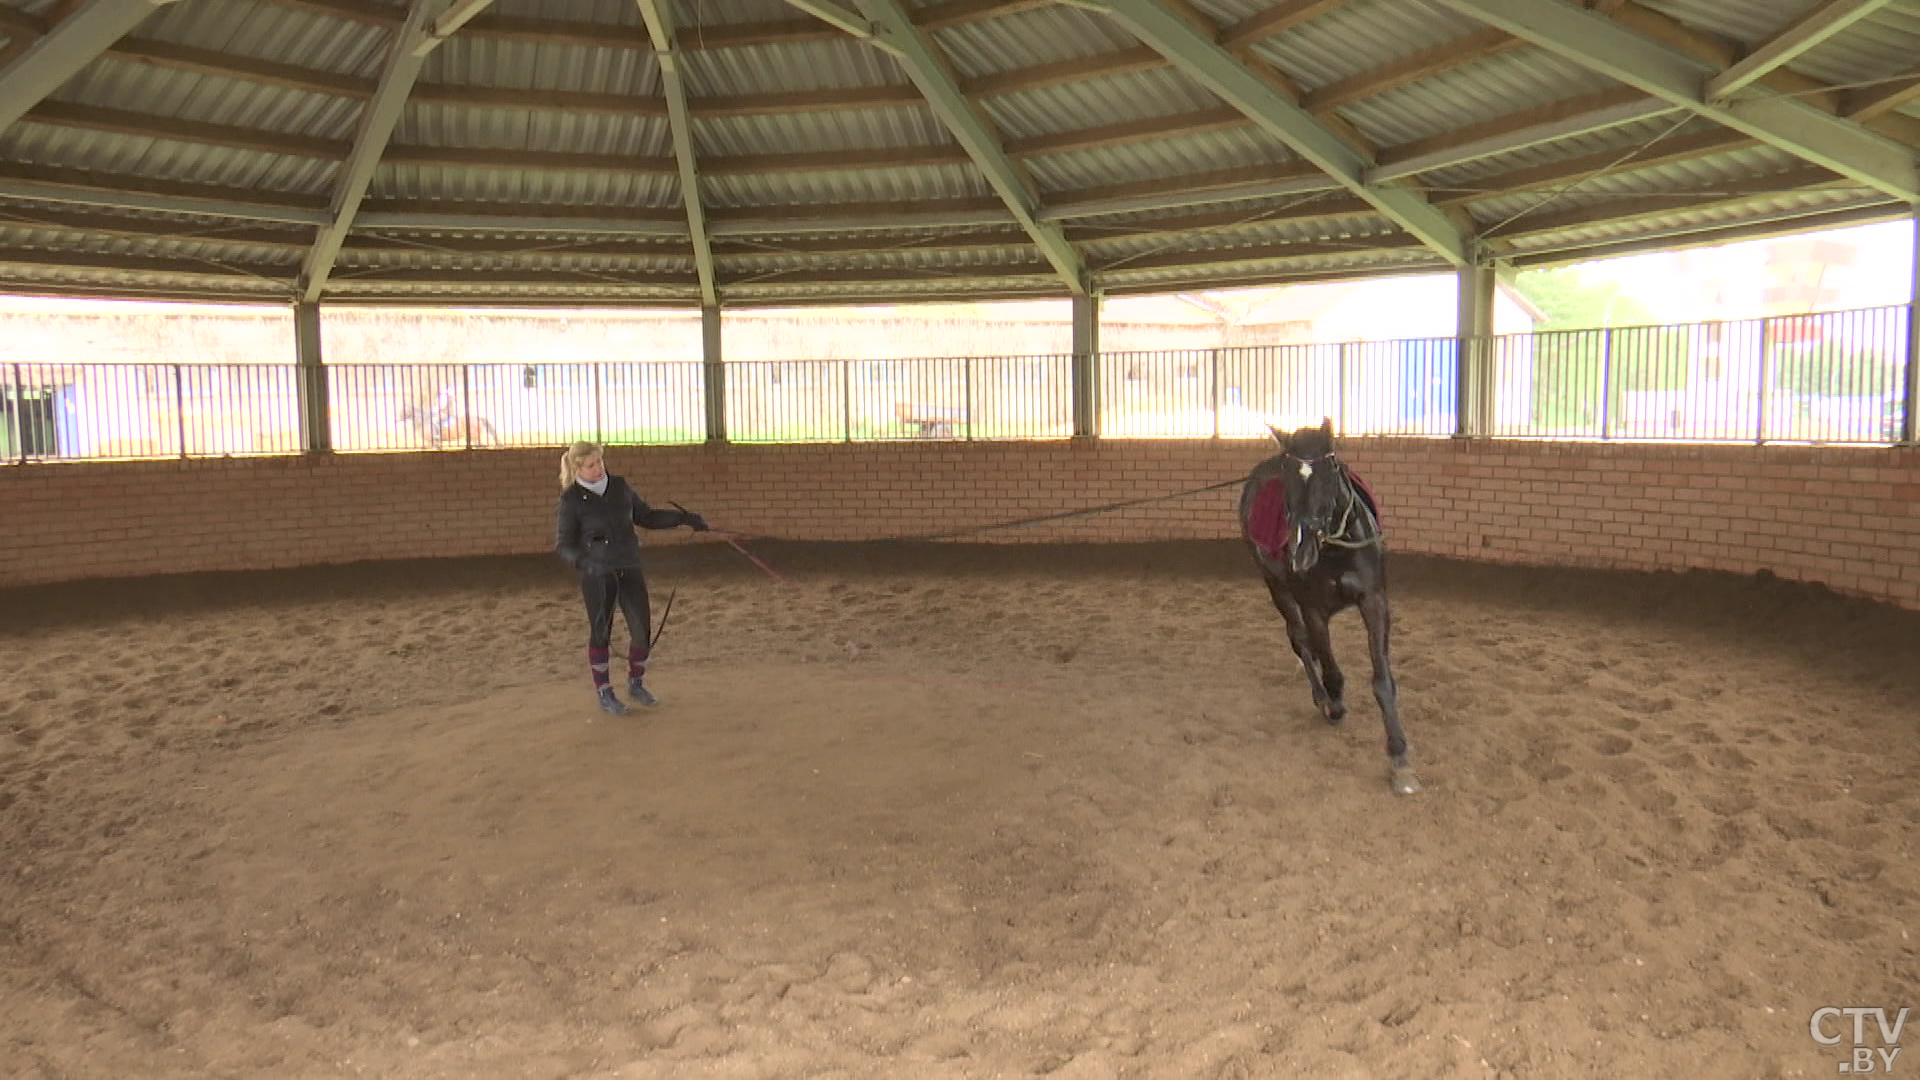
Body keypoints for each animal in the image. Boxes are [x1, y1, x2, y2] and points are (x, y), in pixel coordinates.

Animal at [1236, 417, 1420, 795]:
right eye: (1287, 475)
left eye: (1330, 470)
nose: (1301, 553)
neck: (1336, 549)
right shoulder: (1313, 610)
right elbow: (1331, 667)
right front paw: (1333, 702)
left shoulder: (1374, 603)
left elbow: (1382, 681)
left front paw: (1399, 756)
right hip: (1276, 588)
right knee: (1300, 640)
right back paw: (1321, 696)